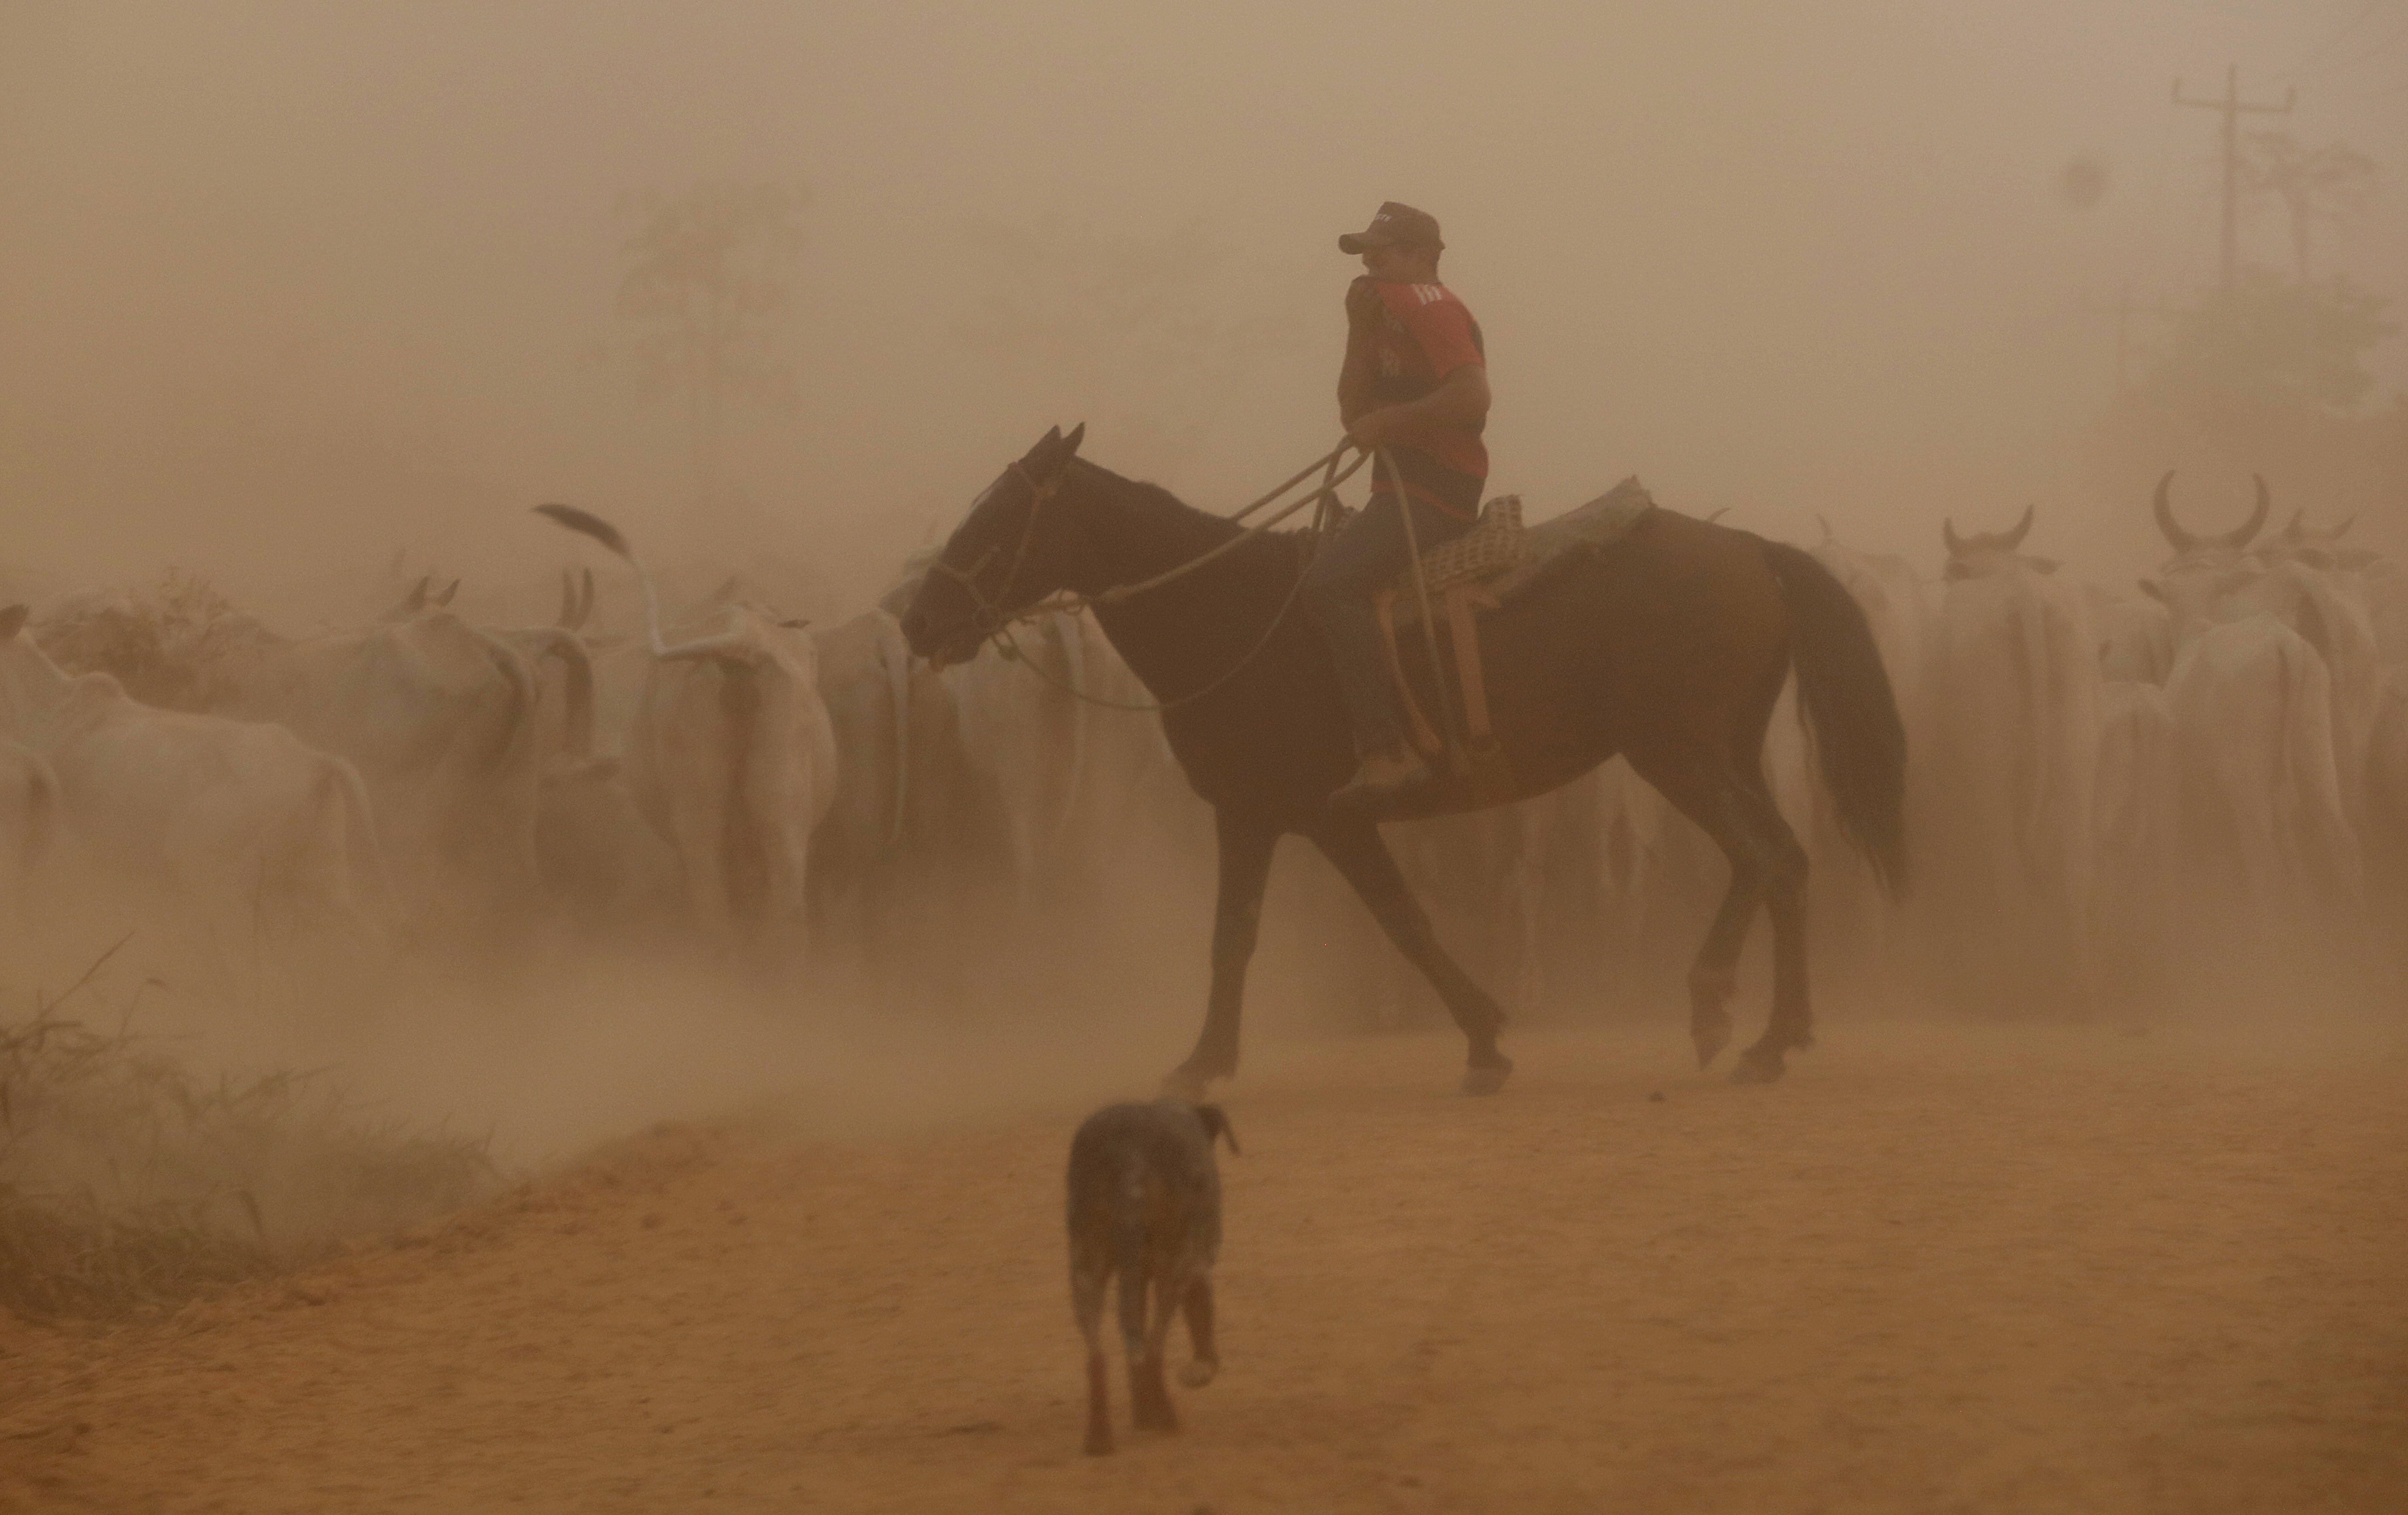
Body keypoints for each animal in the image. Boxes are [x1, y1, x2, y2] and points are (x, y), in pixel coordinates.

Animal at [896, 426, 1907, 1088]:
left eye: (1001, 514)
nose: (918, 618)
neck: (1234, 612)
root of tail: (1754, 550)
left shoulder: (1302, 815)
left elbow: (1352, 927)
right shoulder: (1282, 818)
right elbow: (1311, 928)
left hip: (1680, 752)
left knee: (1764, 856)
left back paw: (1736, 1019)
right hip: (1722, 750)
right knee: (1780, 860)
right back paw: (1759, 1027)